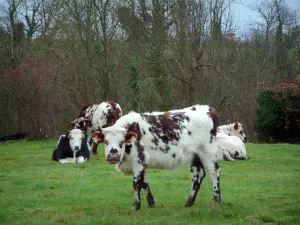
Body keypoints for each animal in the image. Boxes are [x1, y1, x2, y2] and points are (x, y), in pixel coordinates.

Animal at [92, 105, 221, 211]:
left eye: (121, 142)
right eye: (106, 142)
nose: (113, 155)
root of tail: (208, 109)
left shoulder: (138, 160)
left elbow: (136, 183)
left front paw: (136, 205)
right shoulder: (142, 163)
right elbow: (144, 182)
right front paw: (151, 203)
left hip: (207, 152)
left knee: (213, 172)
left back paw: (216, 200)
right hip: (195, 156)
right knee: (198, 175)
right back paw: (189, 203)